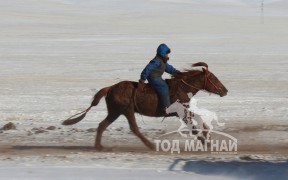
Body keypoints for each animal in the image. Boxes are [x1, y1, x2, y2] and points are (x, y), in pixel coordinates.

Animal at [62, 62, 228, 150]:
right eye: (214, 78)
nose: (225, 90)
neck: (182, 87)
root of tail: (109, 88)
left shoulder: (184, 111)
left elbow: (198, 119)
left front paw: (207, 135)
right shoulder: (180, 113)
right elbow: (193, 126)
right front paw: (206, 141)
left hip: (115, 112)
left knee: (102, 125)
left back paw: (99, 146)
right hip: (126, 110)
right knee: (134, 128)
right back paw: (151, 145)